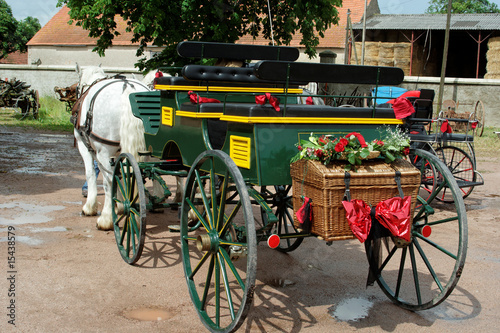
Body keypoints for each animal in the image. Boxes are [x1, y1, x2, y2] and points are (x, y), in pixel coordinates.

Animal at [73, 65, 149, 231]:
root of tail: (128, 87)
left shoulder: (84, 146)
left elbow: (90, 174)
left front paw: (90, 207)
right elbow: (122, 175)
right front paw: (119, 205)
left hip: (104, 152)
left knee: (108, 181)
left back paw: (106, 219)